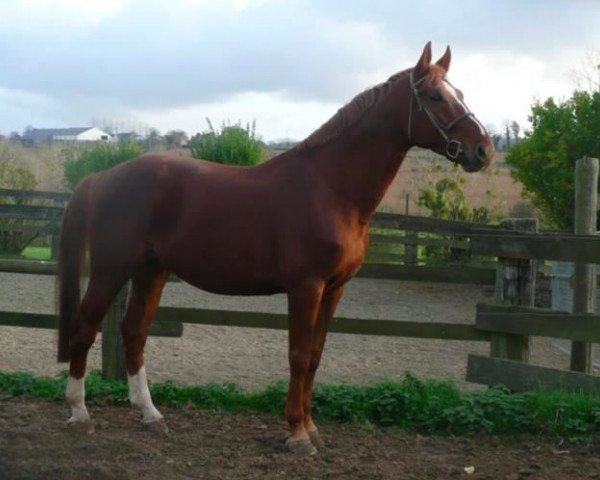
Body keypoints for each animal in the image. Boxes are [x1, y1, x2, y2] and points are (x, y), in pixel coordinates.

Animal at [58, 43, 494, 456]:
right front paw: (297, 434)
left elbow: (315, 355)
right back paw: (79, 413)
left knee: (133, 331)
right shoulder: (306, 287)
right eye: (436, 97)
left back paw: (150, 414)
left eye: (459, 93)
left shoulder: (335, 289)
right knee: (85, 327)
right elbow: (298, 355)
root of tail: (102, 177)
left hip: (152, 272)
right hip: (111, 270)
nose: (483, 150)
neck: (330, 188)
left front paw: (312, 428)